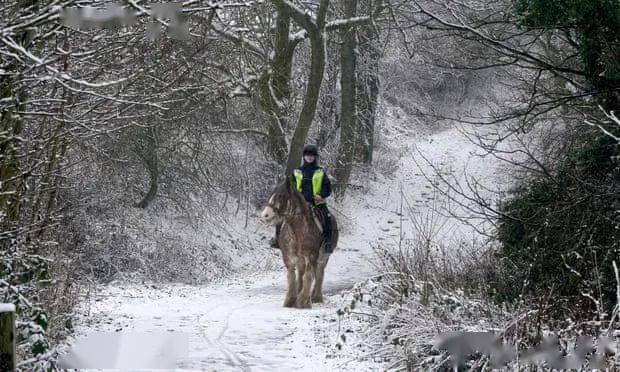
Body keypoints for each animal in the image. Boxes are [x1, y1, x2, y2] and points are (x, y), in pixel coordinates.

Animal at [260, 177, 342, 308]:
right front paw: (290, 300)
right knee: (301, 275)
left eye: (281, 195)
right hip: (301, 260)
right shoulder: (289, 257)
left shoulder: (311, 256)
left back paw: (316, 296)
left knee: (319, 273)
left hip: (324, 257)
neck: (297, 230)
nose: (265, 215)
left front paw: (304, 302)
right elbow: (292, 277)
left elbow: (309, 276)